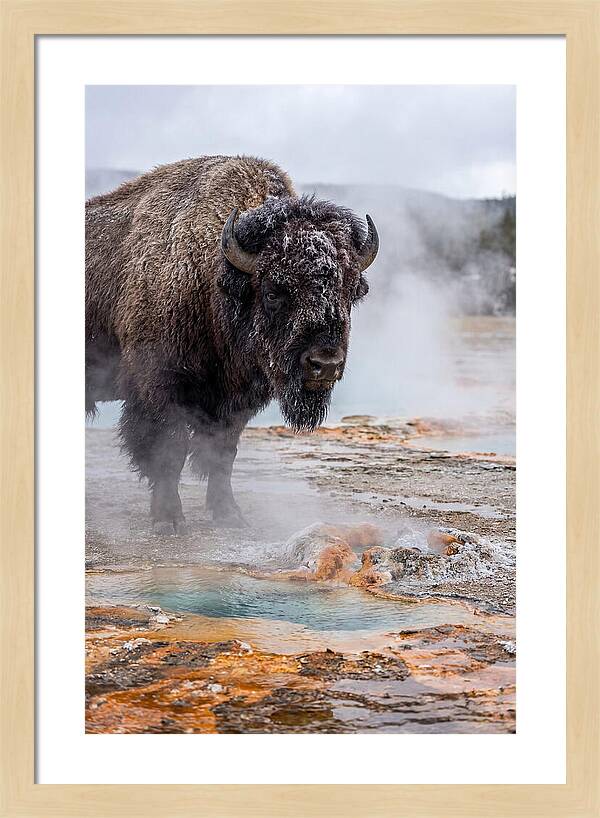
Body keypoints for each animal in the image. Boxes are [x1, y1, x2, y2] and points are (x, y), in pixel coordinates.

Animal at [86, 156, 378, 532]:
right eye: (273, 292)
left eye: (350, 291)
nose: (324, 364)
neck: (212, 277)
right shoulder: (158, 391)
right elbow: (169, 452)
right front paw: (169, 520)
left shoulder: (234, 403)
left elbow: (222, 455)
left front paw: (229, 514)